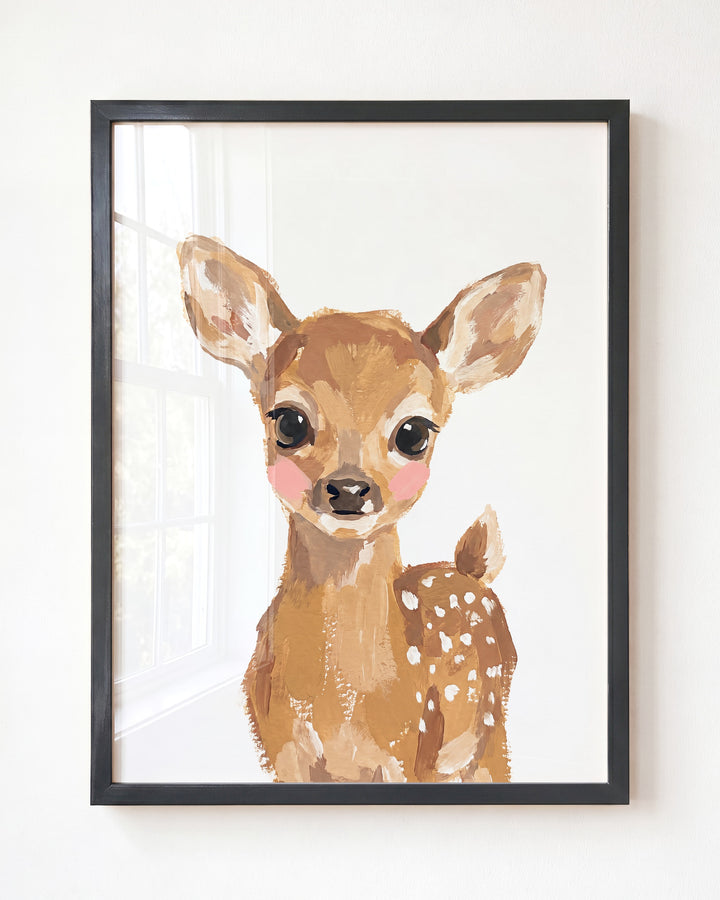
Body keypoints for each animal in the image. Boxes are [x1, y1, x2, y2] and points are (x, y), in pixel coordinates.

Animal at [178, 235, 545, 783]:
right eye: (288, 421)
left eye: (414, 432)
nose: (349, 488)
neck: (342, 704)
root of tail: (471, 570)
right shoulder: (281, 752)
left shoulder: (407, 752)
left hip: (489, 729)